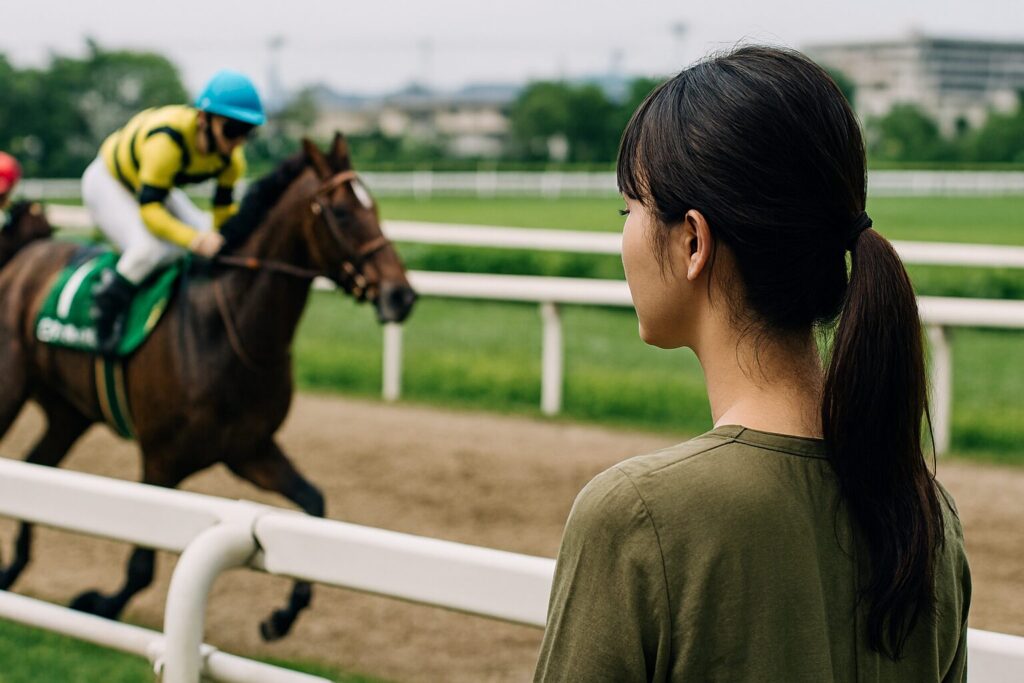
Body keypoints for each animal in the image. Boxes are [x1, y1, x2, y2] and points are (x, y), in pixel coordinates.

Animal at [0, 134, 417, 640]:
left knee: (35, 466)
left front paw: (283, 615)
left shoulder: (249, 449)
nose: (401, 295)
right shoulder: (161, 458)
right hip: (9, 389)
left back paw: (12, 568)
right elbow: (141, 566)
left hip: (68, 413)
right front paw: (99, 603)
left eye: (373, 205)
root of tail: (24, 256)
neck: (225, 328)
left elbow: (312, 503)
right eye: (340, 212)